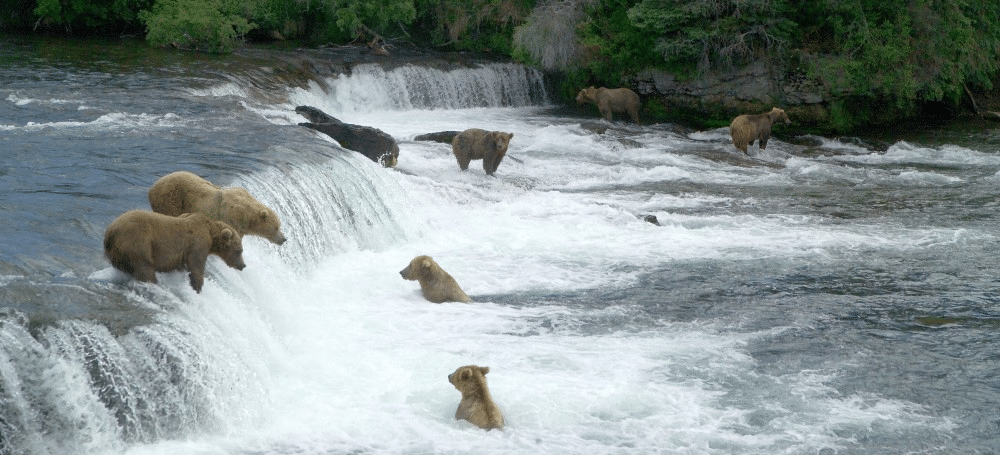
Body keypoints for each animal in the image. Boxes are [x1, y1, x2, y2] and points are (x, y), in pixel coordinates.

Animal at [104, 209, 246, 292]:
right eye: (239, 250)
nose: (243, 265)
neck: (211, 233)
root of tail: (110, 231)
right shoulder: (198, 244)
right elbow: (196, 267)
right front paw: (197, 286)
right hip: (138, 242)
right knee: (145, 269)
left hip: (118, 254)